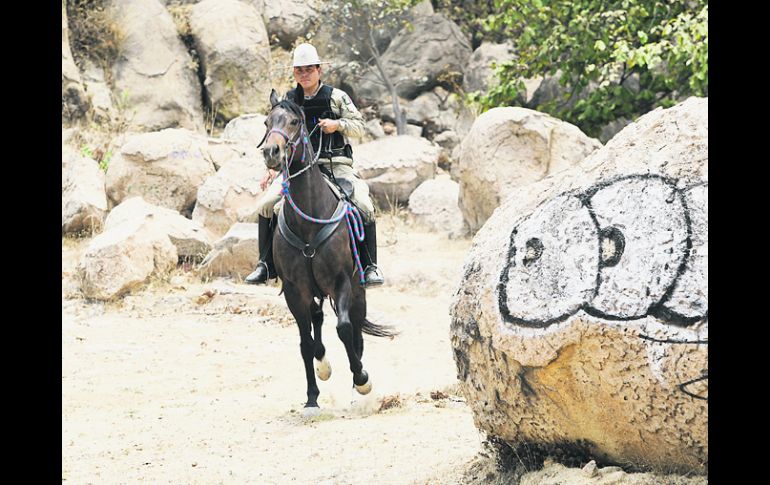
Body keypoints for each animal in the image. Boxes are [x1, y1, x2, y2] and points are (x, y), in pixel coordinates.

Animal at [260, 86, 396, 412]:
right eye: (267, 122)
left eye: (295, 121)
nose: (271, 153)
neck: (308, 223)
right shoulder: (295, 290)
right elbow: (306, 342)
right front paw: (313, 392)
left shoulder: (341, 282)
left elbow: (344, 329)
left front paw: (362, 380)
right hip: (314, 292)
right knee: (318, 322)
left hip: (357, 292)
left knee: (355, 331)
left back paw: (357, 388)